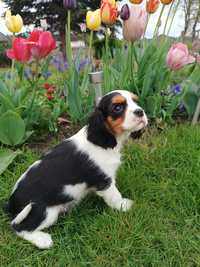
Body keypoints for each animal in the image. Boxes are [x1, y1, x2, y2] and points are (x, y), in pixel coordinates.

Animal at [4, 90, 148, 249]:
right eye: (117, 107)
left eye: (136, 101)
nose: (140, 111)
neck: (100, 140)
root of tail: (10, 203)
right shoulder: (104, 181)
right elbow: (114, 196)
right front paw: (124, 205)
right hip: (43, 212)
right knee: (19, 227)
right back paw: (43, 240)